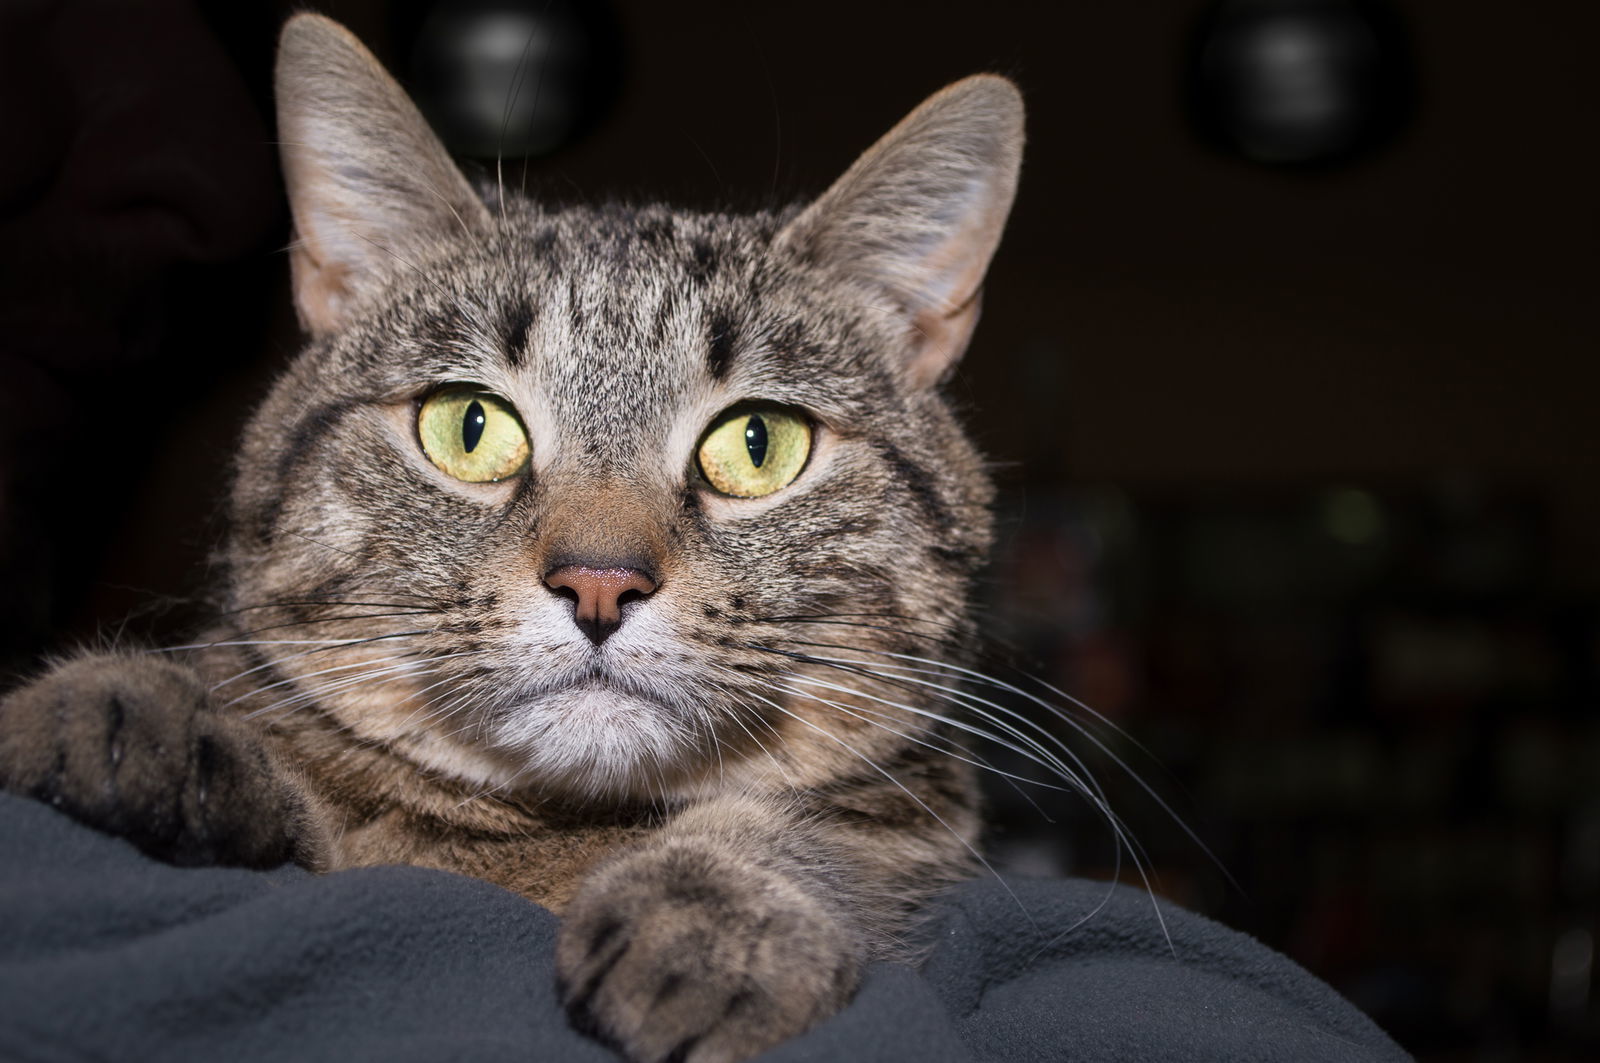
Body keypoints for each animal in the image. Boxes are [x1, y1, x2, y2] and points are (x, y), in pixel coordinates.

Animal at [0, 14, 1024, 1063]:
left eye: (758, 442)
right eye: (469, 425)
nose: (601, 582)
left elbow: (821, 836)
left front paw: (715, 909)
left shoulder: (917, 826)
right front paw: (142, 708)